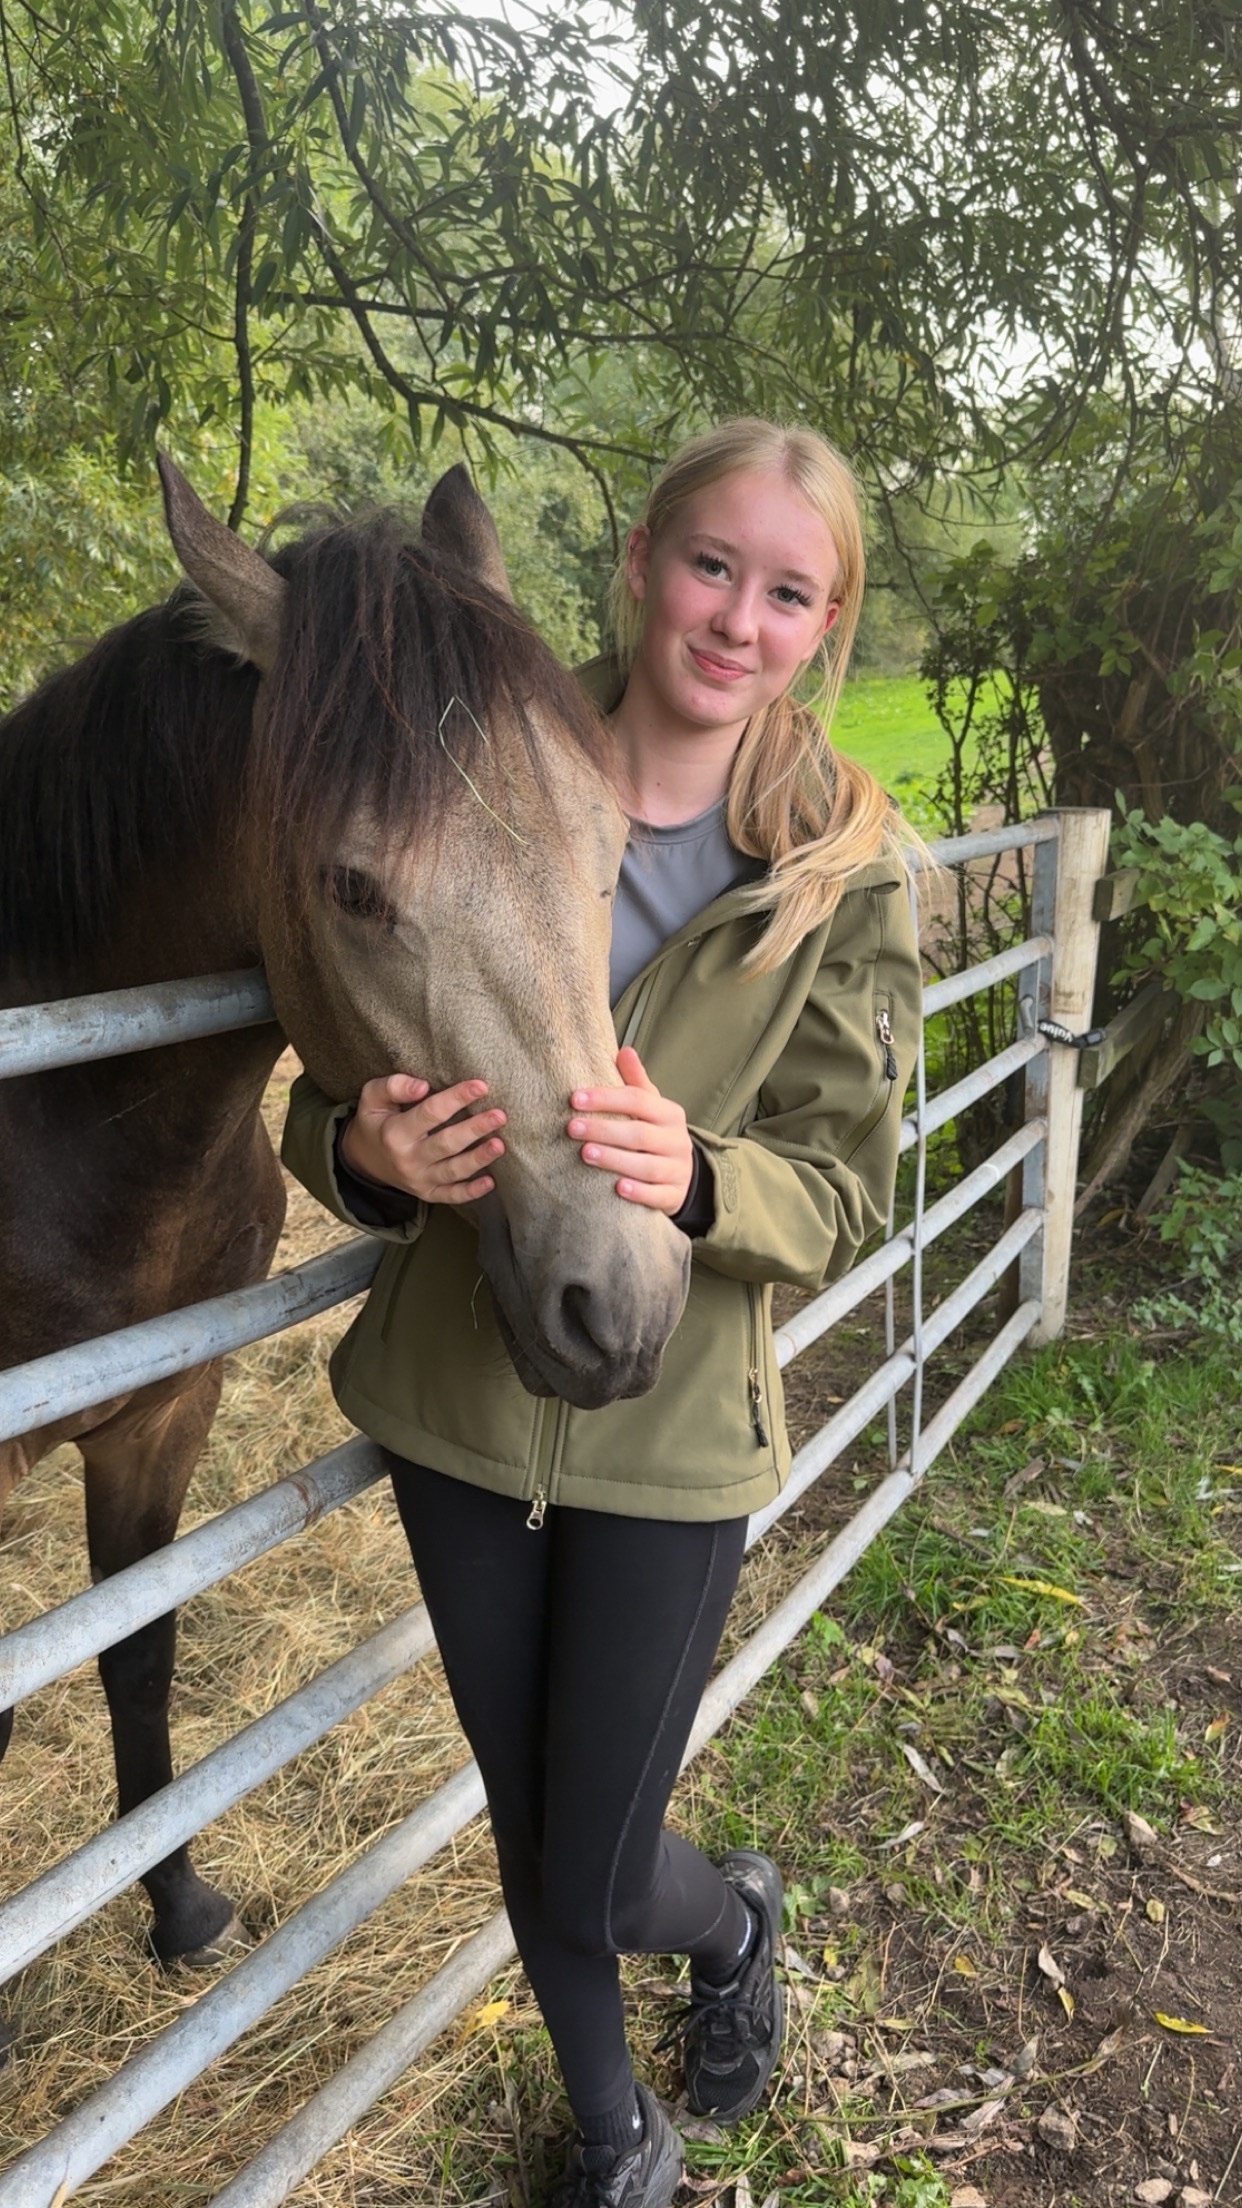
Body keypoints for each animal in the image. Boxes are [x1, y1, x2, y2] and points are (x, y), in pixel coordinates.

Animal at [0, 459, 690, 1986]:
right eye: (355, 887)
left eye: (612, 842)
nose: (617, 1305)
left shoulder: (160, 1416)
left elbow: (136, 1654)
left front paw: (178, 1906)